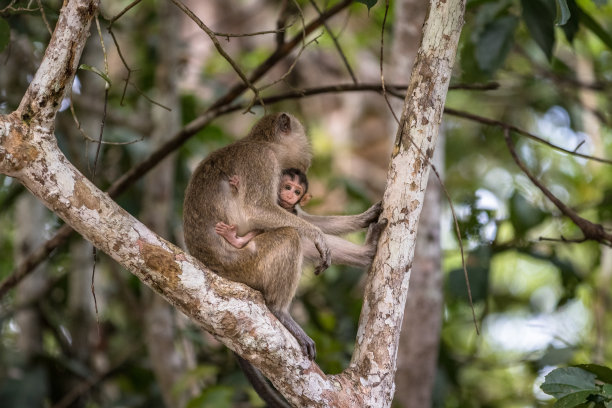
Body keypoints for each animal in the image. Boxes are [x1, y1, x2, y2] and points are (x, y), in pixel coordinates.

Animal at [183, 112, 382, 408]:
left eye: (296, 189)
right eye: (304, 135)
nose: (308, 153)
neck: (261, 142)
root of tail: (213, 269)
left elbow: (303, 219)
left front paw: (361, 219)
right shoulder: (262, 161)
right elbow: (258, 210)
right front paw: (317, 234)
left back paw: (367, 252)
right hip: (246, 266)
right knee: (290, 236)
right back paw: (280, 311)